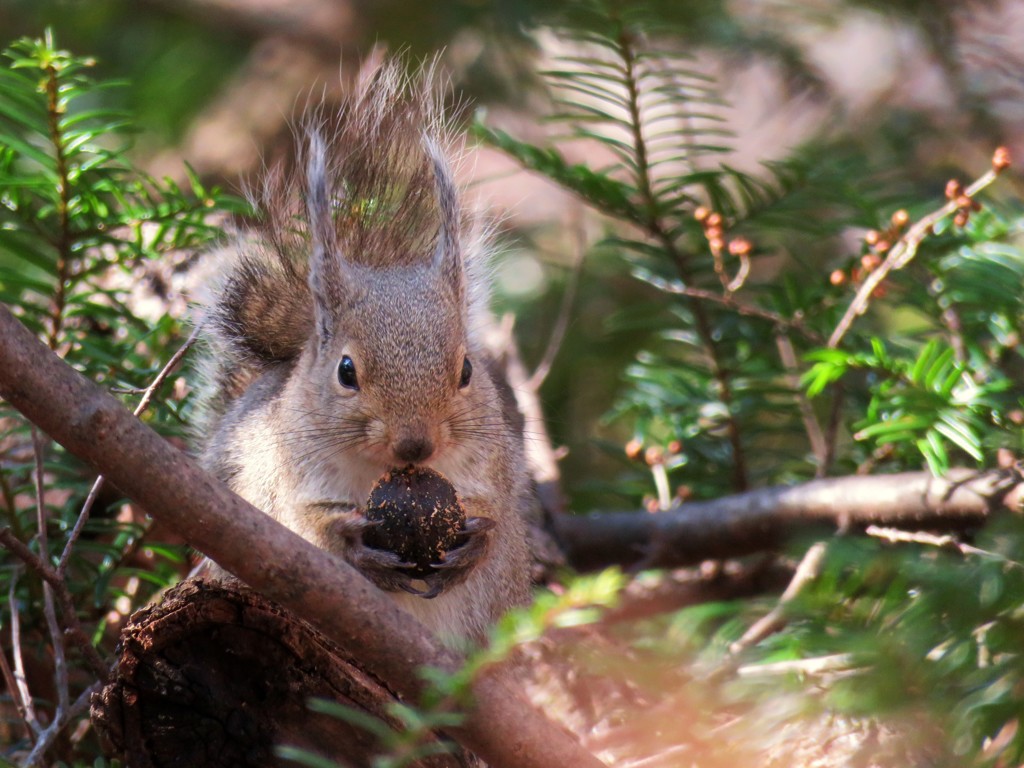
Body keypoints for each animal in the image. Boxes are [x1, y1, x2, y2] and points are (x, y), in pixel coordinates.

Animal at [192, 60, 532, 647]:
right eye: (345, 372)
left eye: (467, 369)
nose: (415, 444)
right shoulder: (280, 473)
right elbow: (304, 524)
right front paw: (349, 542)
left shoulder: (495, 461)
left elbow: (497, 505)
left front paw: (478, 539)